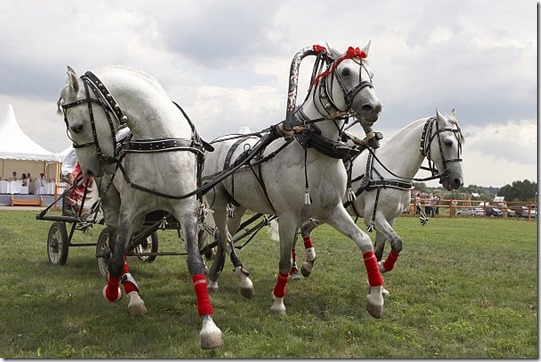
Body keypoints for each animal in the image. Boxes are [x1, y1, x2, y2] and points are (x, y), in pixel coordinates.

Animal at [56, 66, 221, 350]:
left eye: (77, 127)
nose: (89, 170)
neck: (158, 141)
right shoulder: (129, 208)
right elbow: (114, 258)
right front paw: (114, 292)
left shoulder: (186, 208)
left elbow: (195, 263)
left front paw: (208, 326)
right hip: (114, 203)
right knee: (113, 246)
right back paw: (132, 296)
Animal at [201, 43, 384, 318]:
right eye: (345, 71)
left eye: (372, 74)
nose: (372, 107)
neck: (314, 148)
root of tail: (217, 143)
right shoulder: (287, 215)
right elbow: (285, 261)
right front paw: (278, 302)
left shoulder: (332, 210)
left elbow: (364, 242)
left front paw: (375, 297)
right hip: (218, 202)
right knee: (226, 239)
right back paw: (243, 280)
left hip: (239, 206)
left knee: (225, 238)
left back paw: (216, 279)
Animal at [296, 110, 464, 282]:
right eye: (448, 142)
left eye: (461, 143)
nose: (457, 180)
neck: (392, 169)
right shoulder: (375, 217)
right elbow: (397, 242)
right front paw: (382, 267)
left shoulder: (390, 218)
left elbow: (380, 250)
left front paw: (379, 274)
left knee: (304, 228)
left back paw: (305, 266)